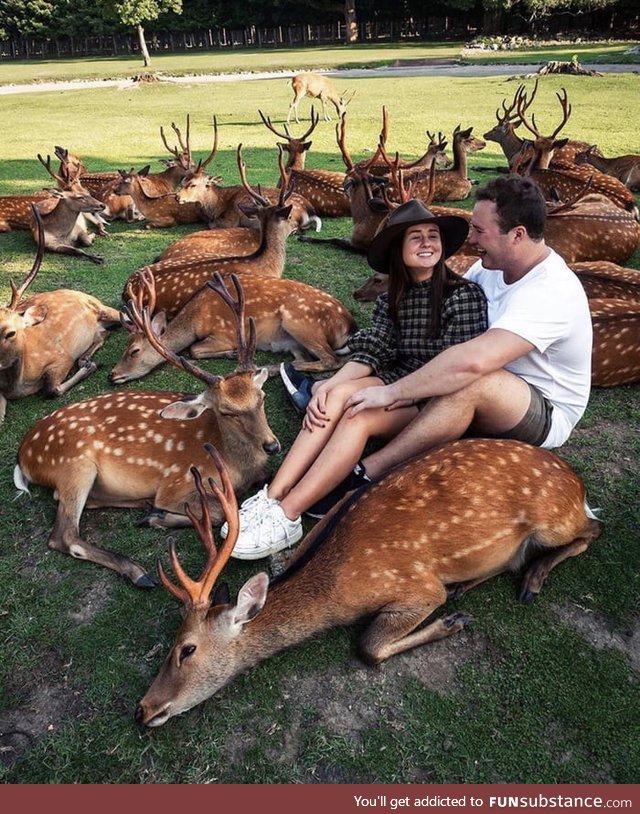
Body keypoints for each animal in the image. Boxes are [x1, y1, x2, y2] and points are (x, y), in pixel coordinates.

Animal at [0, 207, 120, 428]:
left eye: (11, 333)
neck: (18, 384)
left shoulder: (61, 358)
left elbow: (51, 389)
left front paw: (92, 367)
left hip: (104, 309)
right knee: (103, 334)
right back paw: (87, 357)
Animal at [13, 274, 280, 588]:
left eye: (261, 397)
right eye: (226, 411)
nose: (272, 445)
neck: (235, 464)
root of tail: (24, 456)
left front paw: (153, 515)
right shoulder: (176, 483)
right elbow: (217, 515)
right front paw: (158, 516)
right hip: (73, 464)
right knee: (64, 535)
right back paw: (137, 569)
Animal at [109, 268, 356, 382]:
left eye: (134, 351)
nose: (112, 374)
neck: (196, 318)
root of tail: (348, 325)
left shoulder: (224, 332)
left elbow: (194, 349)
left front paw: (232, 352)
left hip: (300, 321)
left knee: (332, 360)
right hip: (293, 341)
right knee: (302, 359)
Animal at [132, 436, 604, 728]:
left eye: (187, 649)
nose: (143, 709)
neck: (335, 588)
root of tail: (578, 484)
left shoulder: (415, 586)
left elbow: (368, 647)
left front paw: (452, 622)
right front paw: (455, 610)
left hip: (555, 520)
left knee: (592, 531)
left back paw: (532, 579)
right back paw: (469, 584)